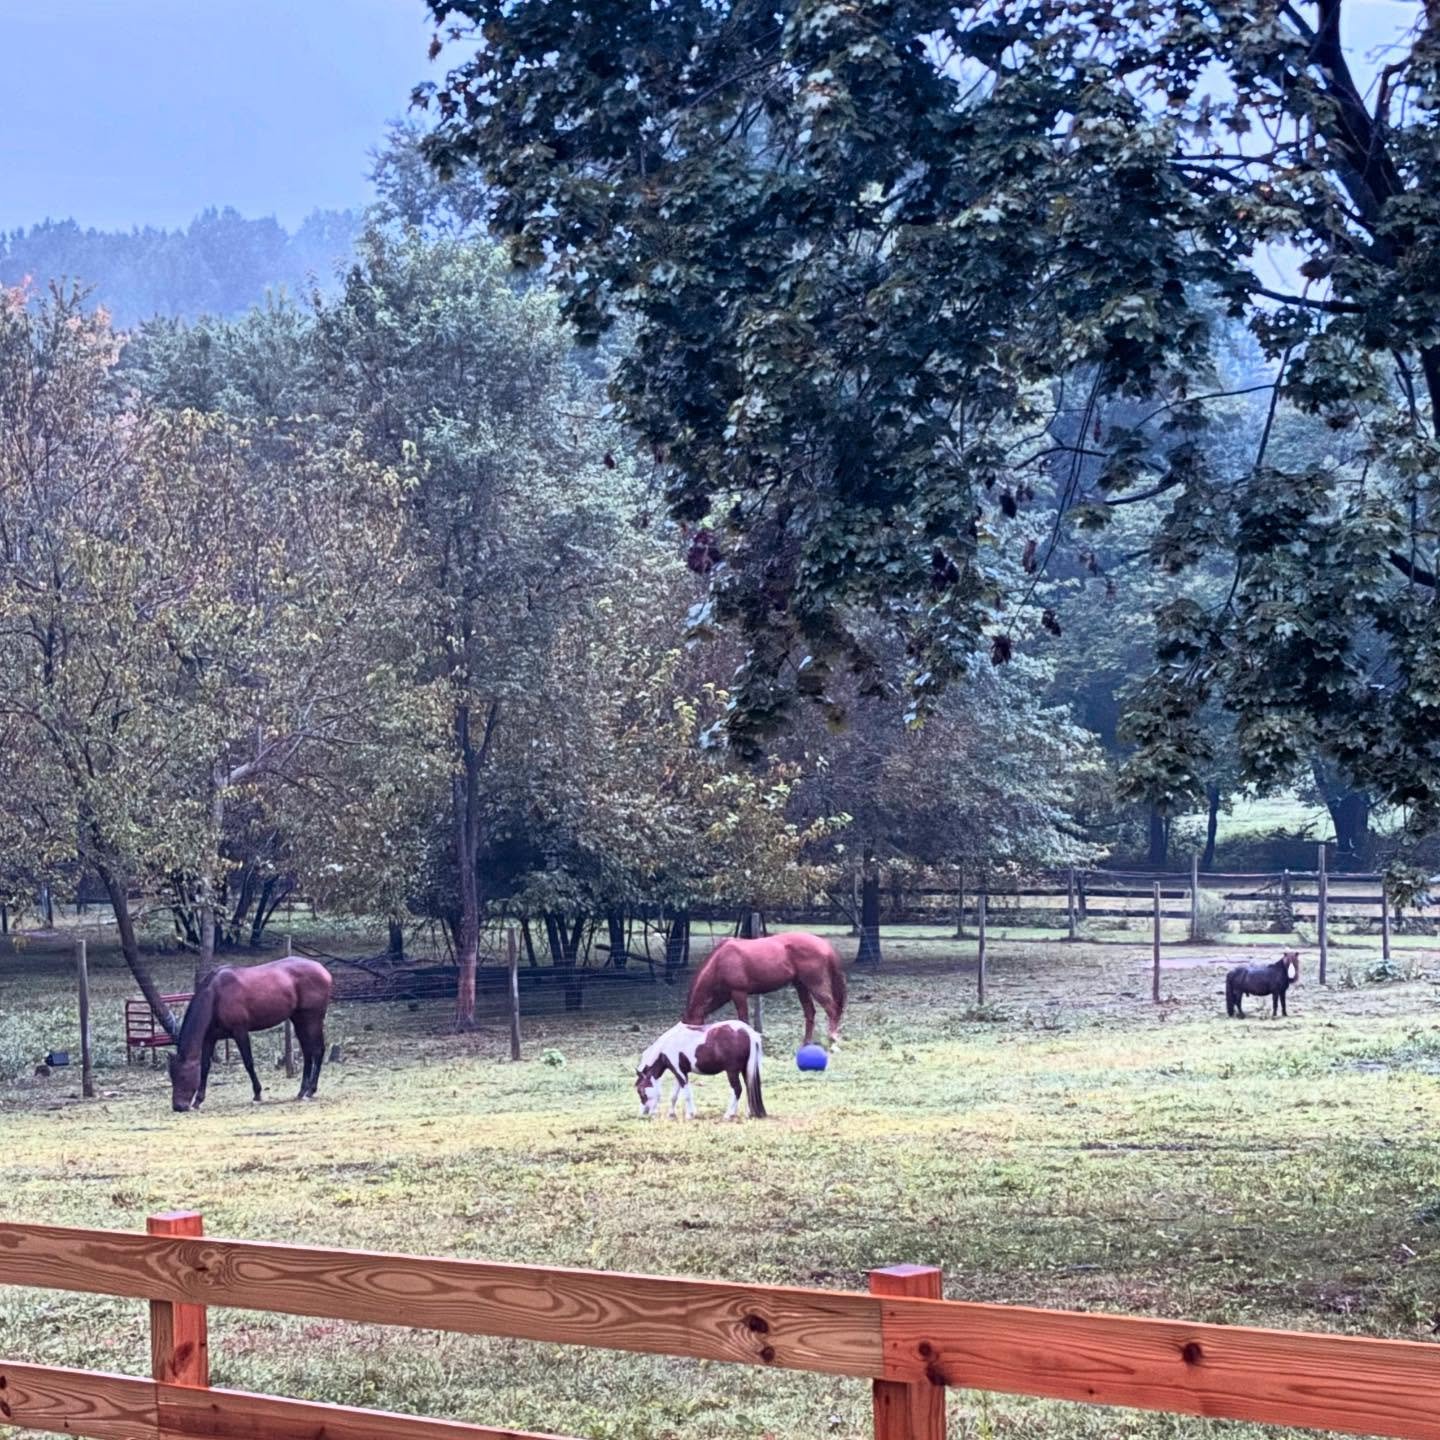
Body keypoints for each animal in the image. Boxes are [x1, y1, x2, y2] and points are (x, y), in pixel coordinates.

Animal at [168, 957, 333, 1111]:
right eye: (172, 1076)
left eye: (183, 1076)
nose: (178, 1106)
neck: (216, 995)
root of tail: (323, 970)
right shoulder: (210, 1038)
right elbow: (205, 1066)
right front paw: (198, 1100)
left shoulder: (240, 1032)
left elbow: (248, 1062)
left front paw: (257, 1094)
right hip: (299, 1019)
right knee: (307, 1053)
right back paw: (302, 1091)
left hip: (313, 1019)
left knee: (318, 1050)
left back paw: (311, 1090)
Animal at [635, 1020, 765, 1120]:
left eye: (641, 1091)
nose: (644, 1113)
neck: (667, 1045)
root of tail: (748, 1031)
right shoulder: (679, 1072)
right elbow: (674, 1096)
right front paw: (671, 1114)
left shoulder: (680, 1073)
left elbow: (687, 1094)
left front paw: (690, 1115)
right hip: (745, 1070)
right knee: (748, 1088)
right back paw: (748, 1113)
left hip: (732, 1072)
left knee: (737, 1089)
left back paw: (729, 1114)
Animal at [683, 931, 846, 1047]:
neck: (720, 960)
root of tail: (824, 945)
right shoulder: (724, 996)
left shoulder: (738, 993)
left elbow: (744, 1020)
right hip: (801, 986)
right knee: (810, 1012)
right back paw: (806, 1043)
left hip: (815, 985)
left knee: (832, 1009)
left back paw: (832, 1040)